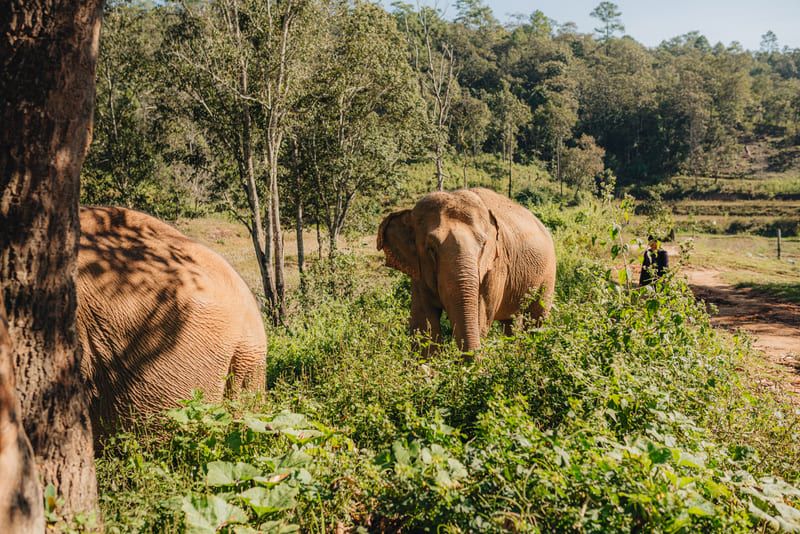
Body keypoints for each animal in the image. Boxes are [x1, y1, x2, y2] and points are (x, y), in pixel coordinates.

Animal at [377, 187, 556, 353]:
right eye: (431, 248)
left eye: (483, 245)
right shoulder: (418, 273)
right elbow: (423, 325)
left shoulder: (495, 266)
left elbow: (480, 318)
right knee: (509, 321)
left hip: (549, 272)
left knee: (537, 316)